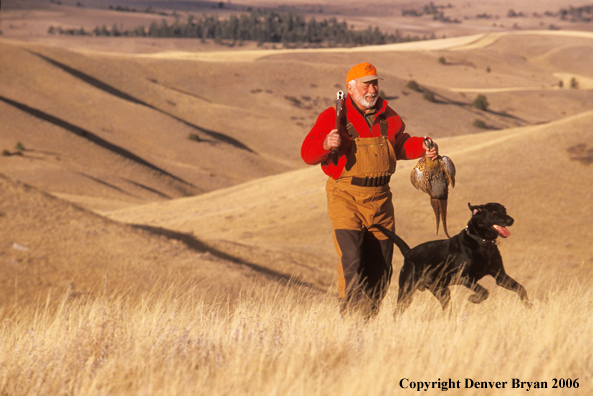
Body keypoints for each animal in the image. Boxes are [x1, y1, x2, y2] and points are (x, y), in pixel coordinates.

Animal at [372, 203, 528, 314]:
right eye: (494, 212)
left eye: (504, 210)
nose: (511, 220)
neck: (483, 243)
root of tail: (408, 252)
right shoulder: (464, 277)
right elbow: (484, 291)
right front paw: (474, 299)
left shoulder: (500, 275)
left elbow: (521, 288)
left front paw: (528, 305)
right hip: (407, 290)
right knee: (397, 312)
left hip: (442, 291)